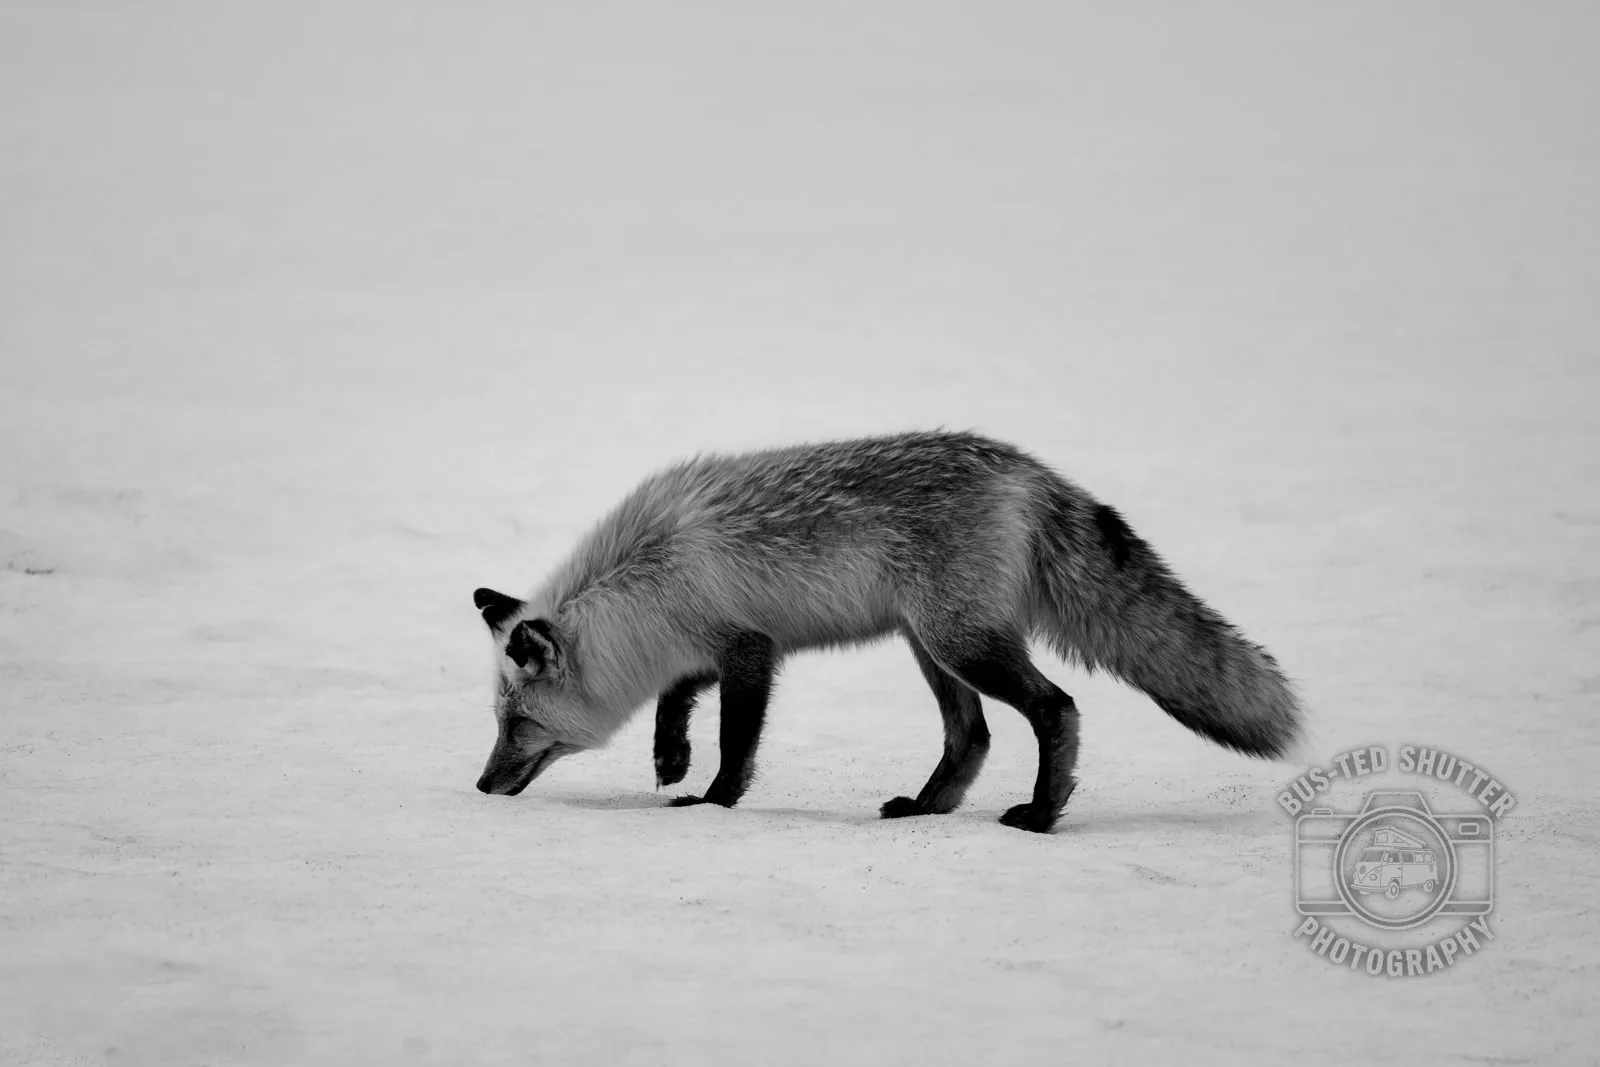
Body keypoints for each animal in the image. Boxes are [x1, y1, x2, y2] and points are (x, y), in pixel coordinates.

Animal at [470, 430, 1301, 833]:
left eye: (518, 724)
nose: (480, 784)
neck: (646, 573)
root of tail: (1028, 469)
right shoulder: (715, 640)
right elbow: (678, 698)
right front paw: (670, 757)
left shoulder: (750, 649)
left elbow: (736, 741)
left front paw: (712, 800)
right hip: (930, 647)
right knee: (972, 736)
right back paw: (928, 808)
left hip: (961, 642)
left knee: (1055, 708)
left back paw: (1041, 815)